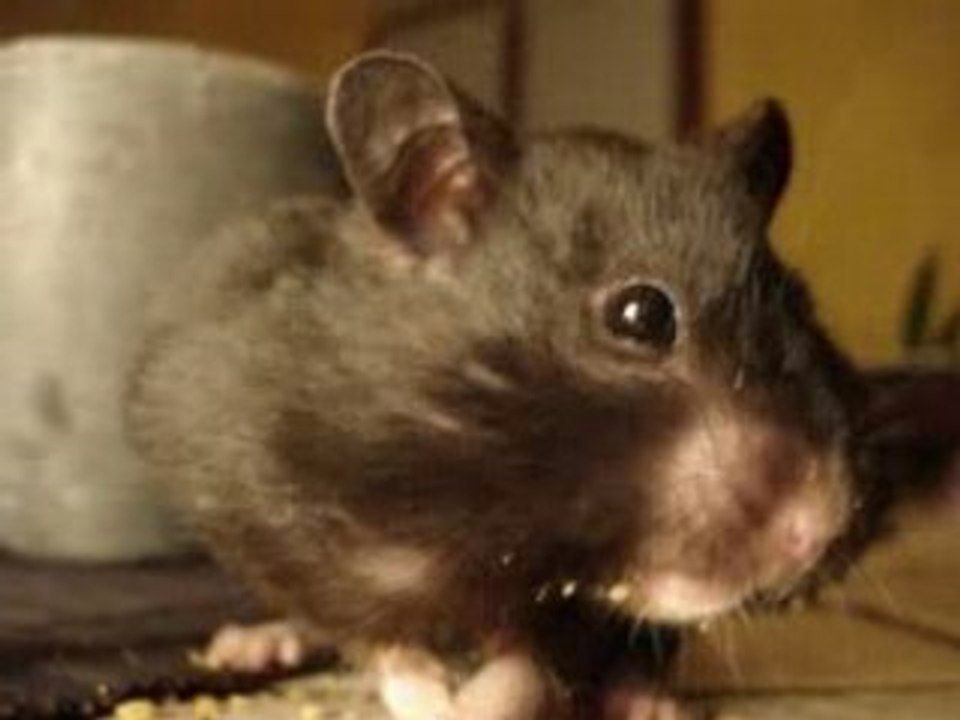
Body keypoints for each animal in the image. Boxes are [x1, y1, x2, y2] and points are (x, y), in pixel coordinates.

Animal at [127, 51, 893, 719]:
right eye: (642, 316)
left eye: (803, 304)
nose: (824, 528)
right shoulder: (282, 524)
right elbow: (382, 642)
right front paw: (437, 703)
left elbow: (525, 665)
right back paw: (246, 646)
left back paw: (650, 702)